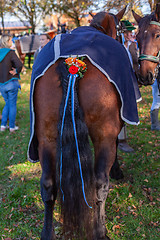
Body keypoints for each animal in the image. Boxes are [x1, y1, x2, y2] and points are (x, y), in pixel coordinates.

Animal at [28, 6, 138, 239]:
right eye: (121, 28)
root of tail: (72, 63)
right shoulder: (112, 130)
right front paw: (117, 171)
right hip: (103, 136)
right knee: (99, 184)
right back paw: (100, 231)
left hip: (46, 138)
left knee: (48, 185)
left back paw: (47, 232)